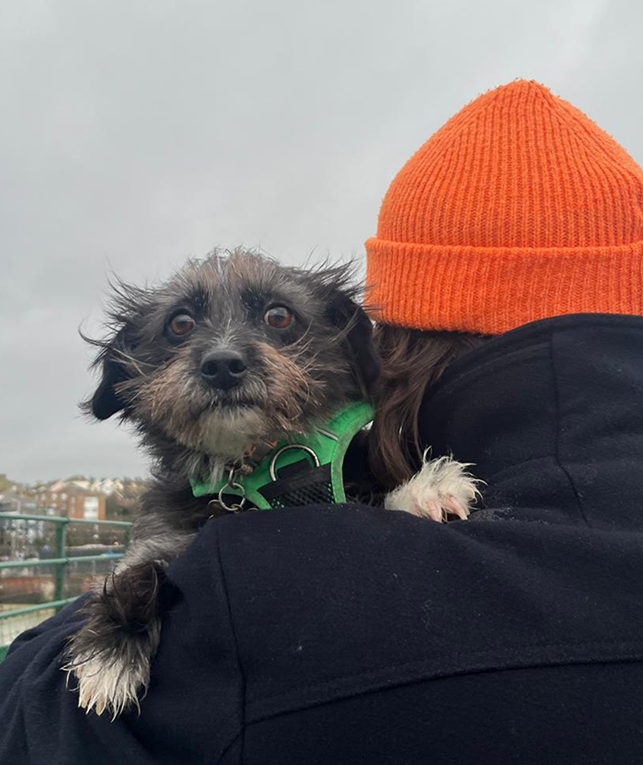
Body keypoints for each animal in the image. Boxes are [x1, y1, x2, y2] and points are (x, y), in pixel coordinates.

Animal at [65, 250, 478, 717]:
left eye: (278, 315)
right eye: (180, 323)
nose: (222, 365)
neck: (249, 469)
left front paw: (422, 490)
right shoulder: (161, 538)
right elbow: (134, 571)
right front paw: (110, 652)